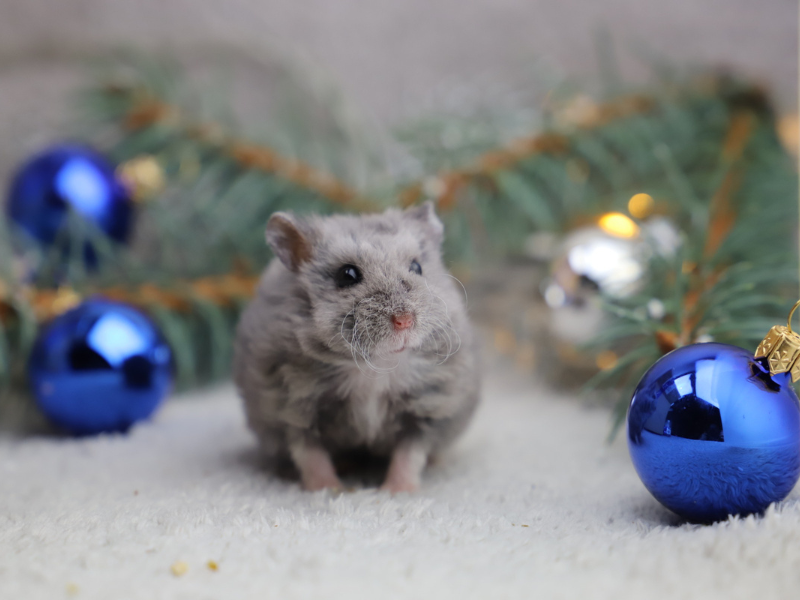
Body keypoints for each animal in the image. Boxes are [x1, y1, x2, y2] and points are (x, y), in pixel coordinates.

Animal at [233, 202, 480, 492]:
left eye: (417, 267)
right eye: (347, 275)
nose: (405, 321)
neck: (376, 364)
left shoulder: (427, 406)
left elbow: (409, 455)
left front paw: (397, 492)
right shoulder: (292, 409)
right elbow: (311, 456)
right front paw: (330, 490)